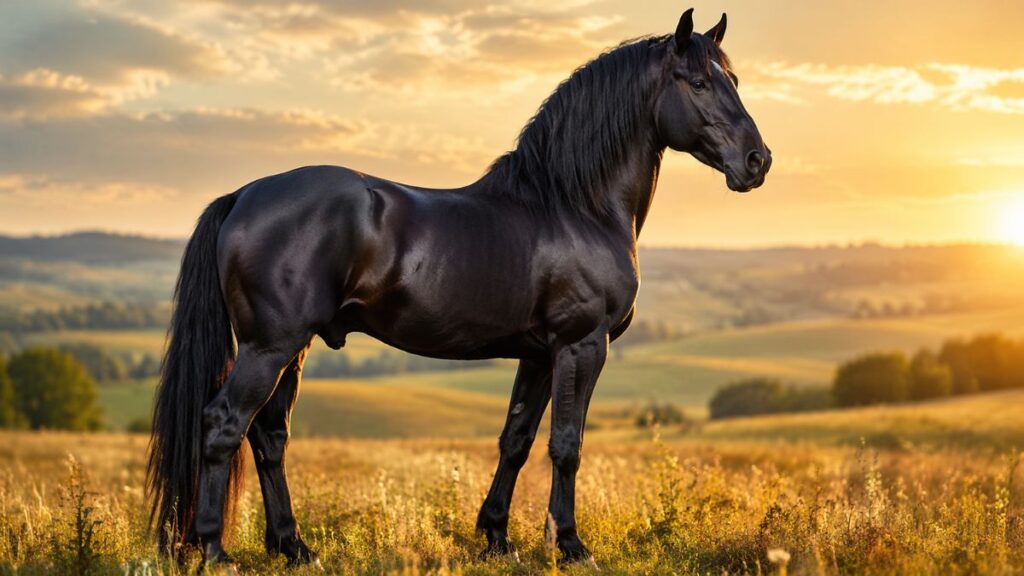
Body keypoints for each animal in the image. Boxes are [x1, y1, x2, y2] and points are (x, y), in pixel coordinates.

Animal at [146, 7, 771, 568]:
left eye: (734, 80)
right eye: (697, 82)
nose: (757, 161)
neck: (573, 206)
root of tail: (243, 195)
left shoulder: (539, 354)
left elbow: (516, 440)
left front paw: (497, 537)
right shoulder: (582, 345)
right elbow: (566, 445)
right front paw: (570, 546)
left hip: (289, 350)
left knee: (270, 436)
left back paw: (294, 548)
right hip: (268, 349)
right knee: (224, 425)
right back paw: (214, 550)